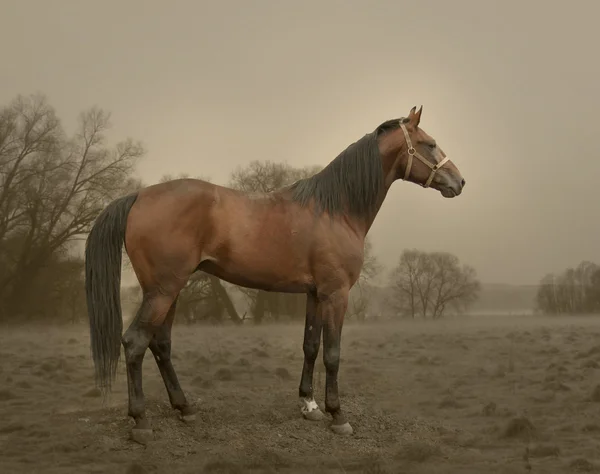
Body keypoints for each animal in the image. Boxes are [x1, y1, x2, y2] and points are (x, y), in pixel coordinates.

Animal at [85, 105, 468, 442]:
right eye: (429, 144)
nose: (460, 181)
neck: (336, 210)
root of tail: (139, 196)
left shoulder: (315, 293)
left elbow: (310, 346)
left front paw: (309, 405)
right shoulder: (336, 293)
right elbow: (333, 353)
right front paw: (338, 416)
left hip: (169, 290)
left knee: (160, 344)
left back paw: (185, 409)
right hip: (163, 290)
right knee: (135, 342)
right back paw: (141, 422)